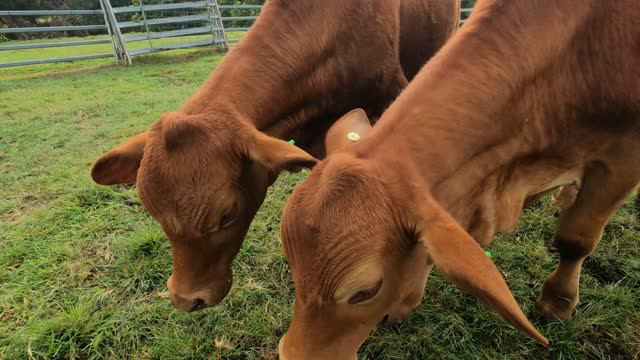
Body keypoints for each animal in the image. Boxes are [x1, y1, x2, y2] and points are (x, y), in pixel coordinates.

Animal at [280, 0, 640, 358]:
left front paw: (556, 303)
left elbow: (575, 240)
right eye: (292, 265)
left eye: (366, 291)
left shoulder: (622, 162)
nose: (292, 354)